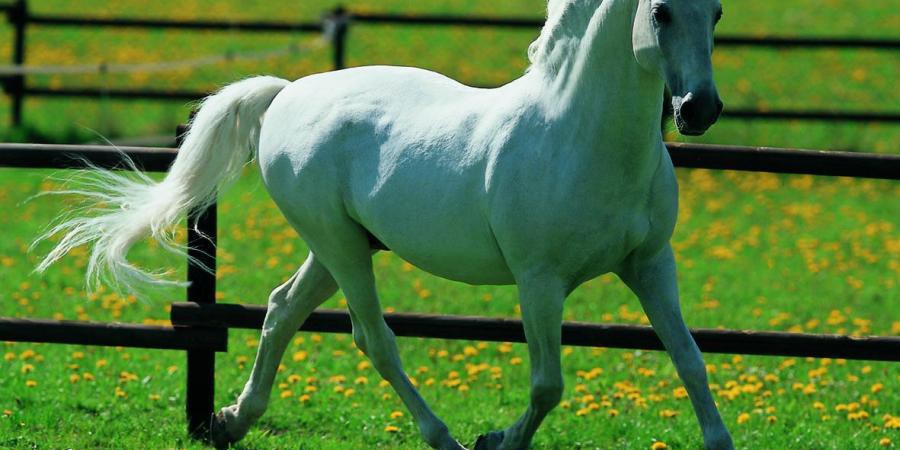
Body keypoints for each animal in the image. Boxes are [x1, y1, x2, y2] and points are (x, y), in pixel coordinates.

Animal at [38, 0, 736, 448]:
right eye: (661, 12)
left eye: (719, 11)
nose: (699, 109)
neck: (578, 137)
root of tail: (287, 92)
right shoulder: (539, 281)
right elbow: (547, 386)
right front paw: (496, 439)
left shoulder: (650, 266)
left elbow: (690, 361)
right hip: (340, 248)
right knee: (373, 338)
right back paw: (443, 438)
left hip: (338, 247)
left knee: (281, 310)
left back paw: (230, 422)